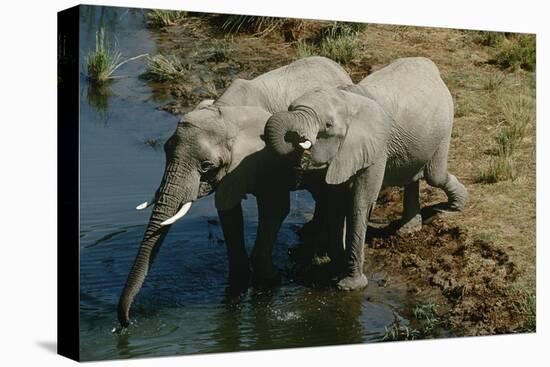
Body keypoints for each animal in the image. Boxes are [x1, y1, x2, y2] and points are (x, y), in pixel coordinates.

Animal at [118, 55, 356, 328]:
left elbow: (275, 208)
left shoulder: (268, 156)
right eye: (166, 152)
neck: (226, 113)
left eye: (206, 166)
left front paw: (268, 280)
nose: (127, 323)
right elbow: (228, 211)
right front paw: (239, 282)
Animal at [266, 57, 468, 292]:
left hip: (445, 123)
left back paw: (454, 206)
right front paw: (334, 267)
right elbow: (336, 201)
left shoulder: (377, 148)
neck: (346, 99)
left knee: (434, 175)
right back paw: (409, 229)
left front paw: (350, 284)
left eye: (327, 125)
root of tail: (429, 65)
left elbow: (360, 201)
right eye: (290, 108)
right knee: (413, 176)